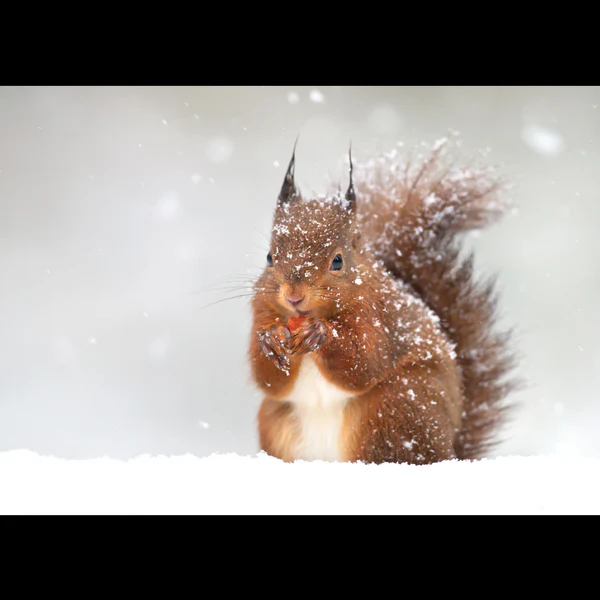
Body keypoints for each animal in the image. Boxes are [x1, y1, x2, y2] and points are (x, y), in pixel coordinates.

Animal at [248, 139, 520, 464]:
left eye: (338, 260)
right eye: (269, 257)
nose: (293, 295)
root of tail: (451, 450)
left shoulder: (379, 316)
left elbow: (364, 362)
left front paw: (322, 334)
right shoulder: (261, 310)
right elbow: (267, 379)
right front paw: (272, 339)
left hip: (392, 411)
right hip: (277, 423)